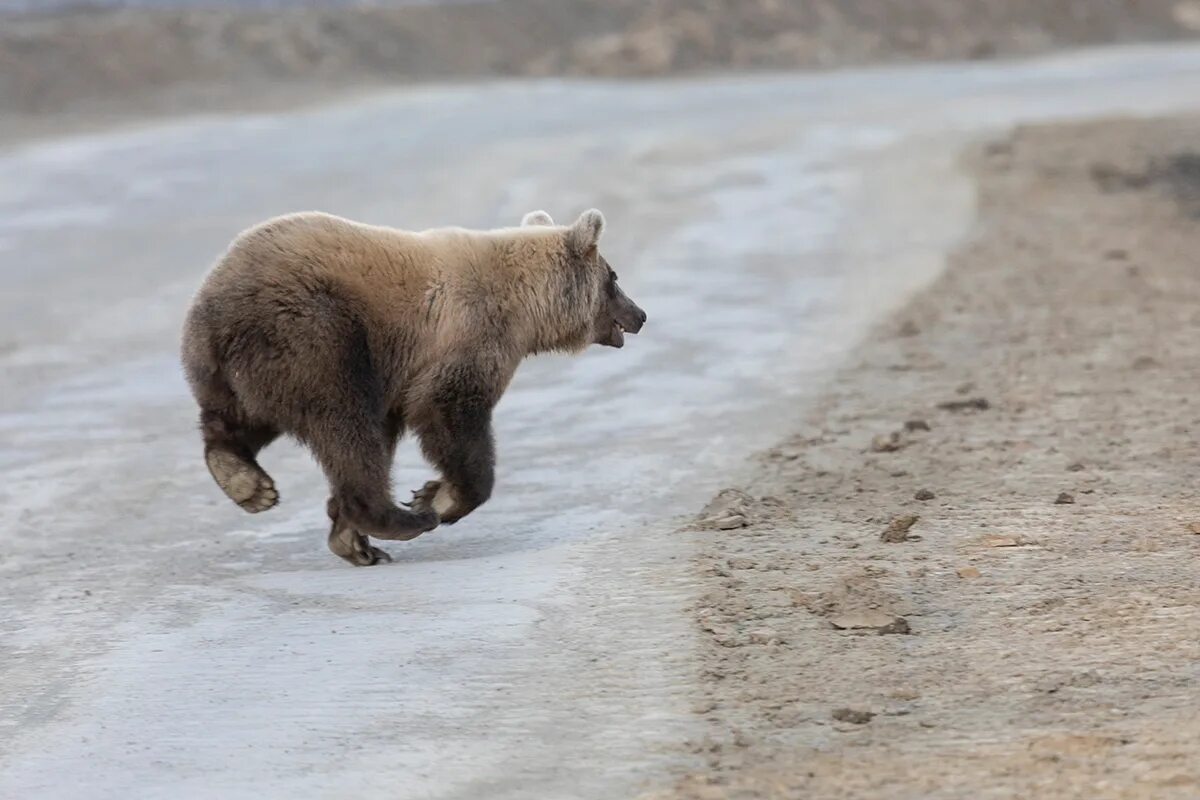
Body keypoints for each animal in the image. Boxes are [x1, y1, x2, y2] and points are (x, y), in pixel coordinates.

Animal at [181, 209, 648, 566]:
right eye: (614, 277)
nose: (640, 314)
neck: (523, 308)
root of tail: (214, 309)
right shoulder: (459, 341)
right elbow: (451, 415)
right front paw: (435, 500)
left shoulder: (397, 379)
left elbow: (395, 430)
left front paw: (367, 521)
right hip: (317, 337)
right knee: (343, 424)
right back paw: (397, 522)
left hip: (234, 371)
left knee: (236, 422)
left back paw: (252, 485)